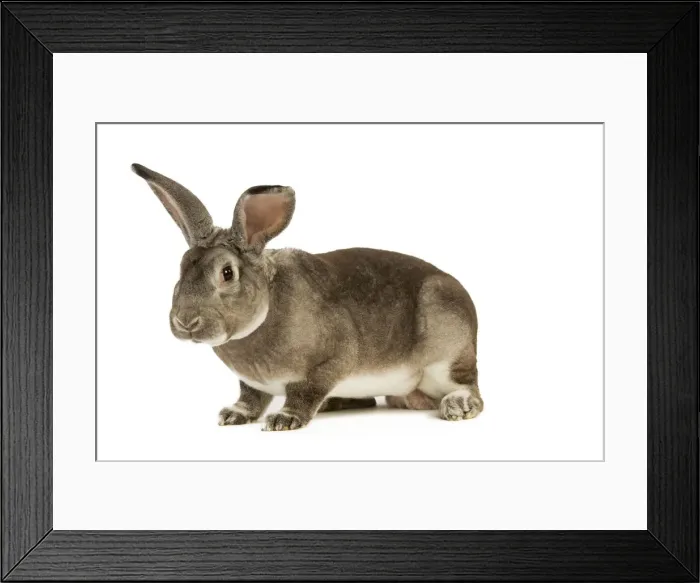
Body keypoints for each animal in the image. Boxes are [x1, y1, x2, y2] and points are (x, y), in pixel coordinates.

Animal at [132, 163, 483, 431]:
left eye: (227, 273)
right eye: (181, 267)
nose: (185, 322)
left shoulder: (332, 361)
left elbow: (305, 392)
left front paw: (284, 419)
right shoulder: (252, 383)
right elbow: (250, 397)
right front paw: (233, 415)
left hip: (447, 348)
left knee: (470, 388)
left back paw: (457, 405)